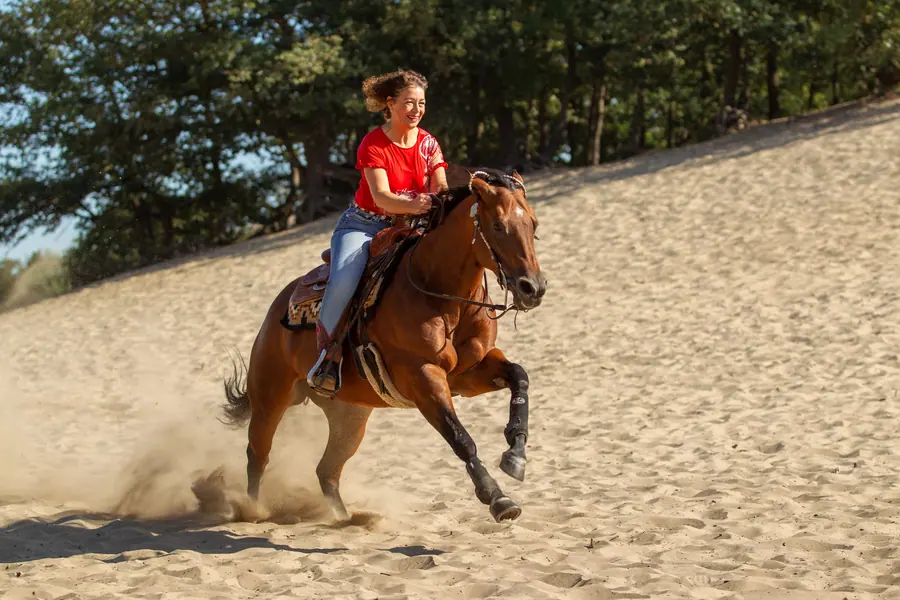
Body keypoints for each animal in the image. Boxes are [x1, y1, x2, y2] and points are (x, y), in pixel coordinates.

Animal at [220, 167, 548, 523]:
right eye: (498, 225)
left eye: (533, 224)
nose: (533, 287)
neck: (439, 294)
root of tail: (277, 308)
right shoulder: (422, 378)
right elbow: (460, 438)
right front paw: (498, 498)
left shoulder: (468, 373)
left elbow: (519, 376)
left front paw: (516, 454)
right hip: (270, 398)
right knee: (258, 454)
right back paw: (252, 510)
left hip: (350, 417)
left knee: (327, 471)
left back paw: (347, 519)